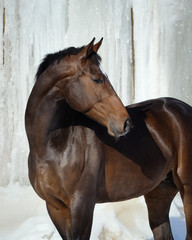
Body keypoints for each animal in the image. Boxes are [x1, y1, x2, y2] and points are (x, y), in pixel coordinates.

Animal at [25, 38, 192, 239]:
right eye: (97, 79)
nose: (125, 122)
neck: (55, 148)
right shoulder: (55, 208)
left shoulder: (82, 206)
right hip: (159, 194)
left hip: (188, 189)